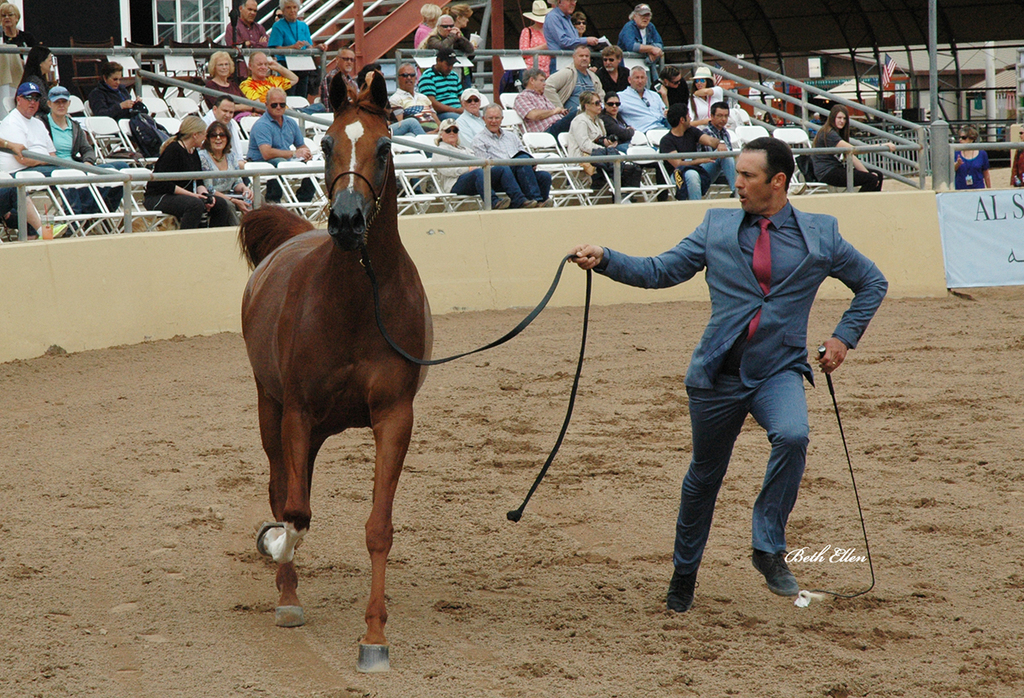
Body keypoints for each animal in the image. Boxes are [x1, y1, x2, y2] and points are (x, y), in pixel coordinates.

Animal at [237, 72, 432, 673]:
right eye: (324, 144)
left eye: (385, 146)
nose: (346, 221)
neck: (355, 303)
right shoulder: (297, 413)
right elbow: (295, 511)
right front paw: (279, 564)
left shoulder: (395, 417)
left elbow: (378, 529)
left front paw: (374, 636)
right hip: (272, 410)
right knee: (281, 490)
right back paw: (286, 589)